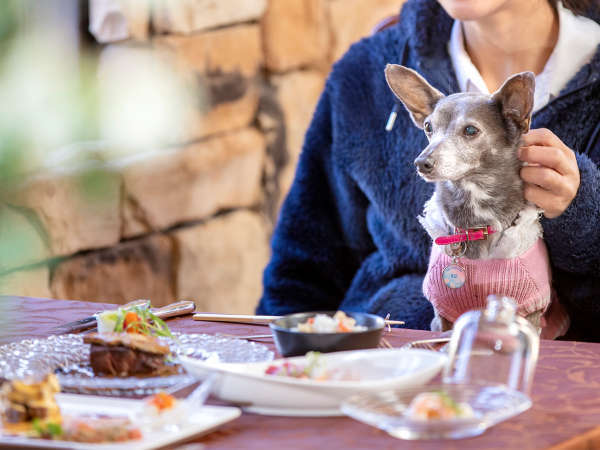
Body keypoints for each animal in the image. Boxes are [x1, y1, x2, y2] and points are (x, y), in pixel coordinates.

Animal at [382, 64, 568, 338]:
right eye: (428, 127)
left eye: (471, 130)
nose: (421, 162)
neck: (475, 221)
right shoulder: (442, 316)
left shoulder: (530, 313)